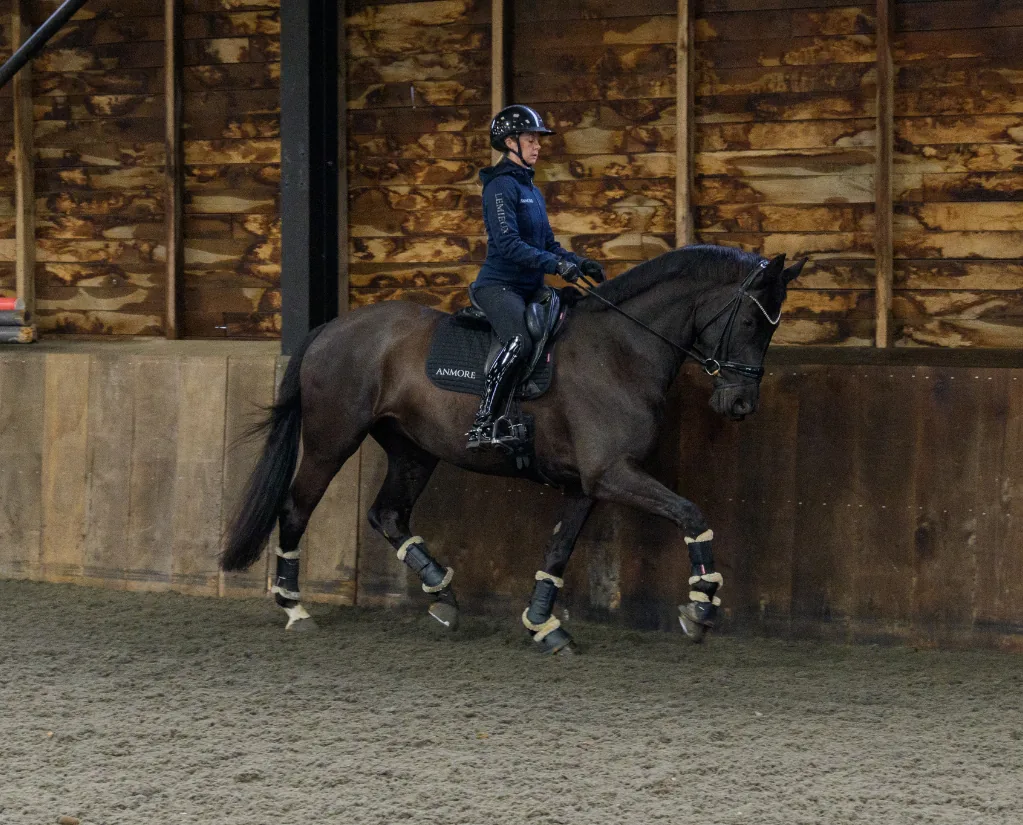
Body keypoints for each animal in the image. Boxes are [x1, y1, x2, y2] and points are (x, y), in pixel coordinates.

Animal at [221, 244, 805, 653]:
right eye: (750, 321)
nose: (739, 404)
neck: (621, 351)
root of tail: (330, 328)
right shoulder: (613, 473)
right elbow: (691, 514)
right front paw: (701, 608)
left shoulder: (587, 482)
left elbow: (558, 550)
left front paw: (543, 625)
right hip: (331, 440)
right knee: (296, 509)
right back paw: (294, 607)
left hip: (414, 450)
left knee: (387, 514)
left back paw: (443, 596)